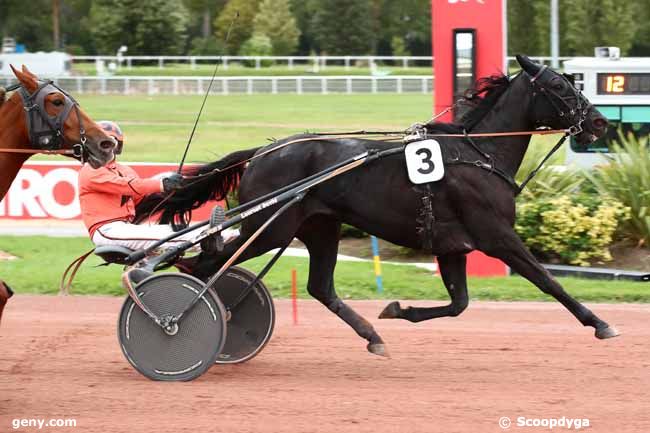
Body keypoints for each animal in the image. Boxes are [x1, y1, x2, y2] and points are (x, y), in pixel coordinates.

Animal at [135, 55, 612, 356]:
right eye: (559, 86)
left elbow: (459, 304)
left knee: (318, 287)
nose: (600, 122)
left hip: (319, 228)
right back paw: (181, 316)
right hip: (271, 228)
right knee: (203, 263)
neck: (479, 153)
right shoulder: (497, 236)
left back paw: (371, 335)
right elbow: (548, 281)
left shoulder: (452, 245)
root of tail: (263, 152)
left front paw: (398, 309)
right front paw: (599, 322)